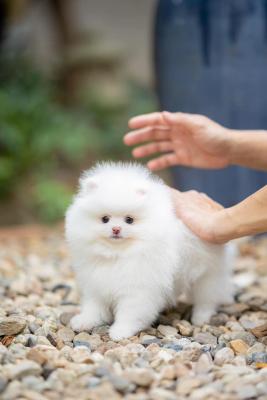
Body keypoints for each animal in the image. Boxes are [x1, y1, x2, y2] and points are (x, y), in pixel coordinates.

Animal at [65, 161, 232, 340]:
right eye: (105, 219)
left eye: (129, 220)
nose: (116, 229)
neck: (118, 255)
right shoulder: (96, 283)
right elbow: (94, 307)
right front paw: (84, 321)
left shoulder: (139, 289)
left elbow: (129, 313)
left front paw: (120, 331)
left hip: (206, 274)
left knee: (207, 298)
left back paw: (201, 317)